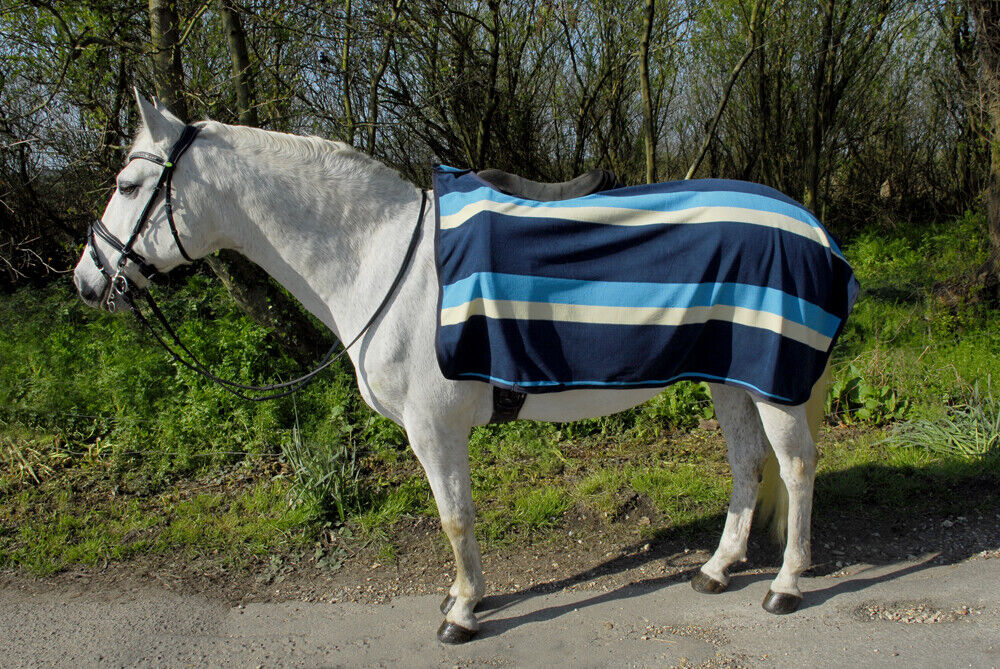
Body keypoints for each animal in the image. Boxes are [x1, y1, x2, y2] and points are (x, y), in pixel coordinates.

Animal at [74, 92, 835, 644]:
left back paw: (786, 585)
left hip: (774, 386)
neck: (380, 259)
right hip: (732, 380)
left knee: (795, 466)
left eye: (128, 183)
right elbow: (459, 517)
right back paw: (718, 568)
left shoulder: (432, 429)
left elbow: (455, 519)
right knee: (747, 464)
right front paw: (463, 596)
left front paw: (463, 610)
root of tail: (811, 226)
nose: (86, 279)